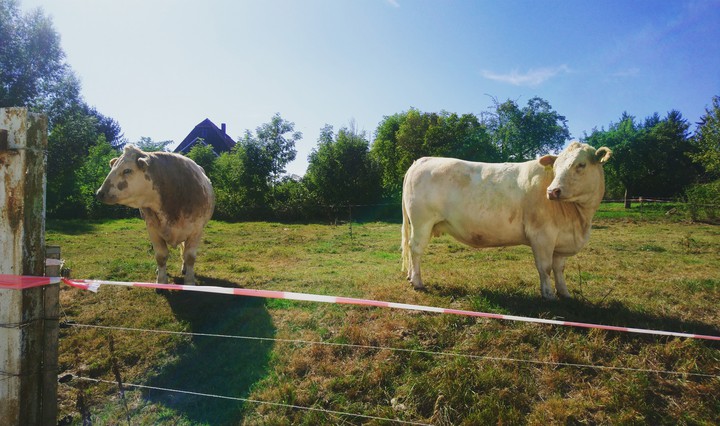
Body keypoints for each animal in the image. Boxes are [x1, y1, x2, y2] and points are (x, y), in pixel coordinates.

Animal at [96, 145, 215, 285]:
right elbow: (161, 256)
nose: (99, 193)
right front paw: (161, 280)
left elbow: (189, 256)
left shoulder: (196, 230)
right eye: (112, 168)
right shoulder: (153, 230)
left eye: (127, 170)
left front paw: (189, 281)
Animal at [401, 142, 612, 300]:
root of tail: (423, 160)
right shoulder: (542, 235)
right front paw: (549, 295)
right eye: (556, 167)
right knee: (416, 249)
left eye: (581, 164)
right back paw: (417, 282)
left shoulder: (560, 240)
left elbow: (559, 268)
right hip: (422, 222)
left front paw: (565, 294)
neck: (579, 220)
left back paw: (411, 277)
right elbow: (545, 267)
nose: (553, 191)